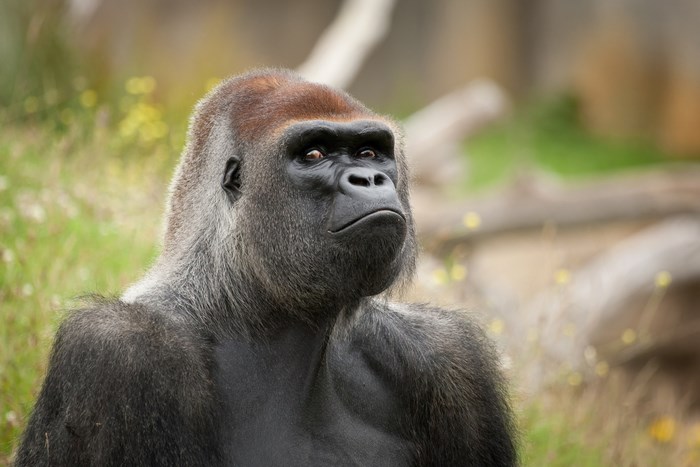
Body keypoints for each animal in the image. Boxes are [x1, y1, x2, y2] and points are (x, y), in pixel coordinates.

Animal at [16, 69, 517, 466]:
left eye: (370, 153)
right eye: (313, 154)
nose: (370, 178)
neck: (241, 305)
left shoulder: (446, 353)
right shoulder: (120, 351)